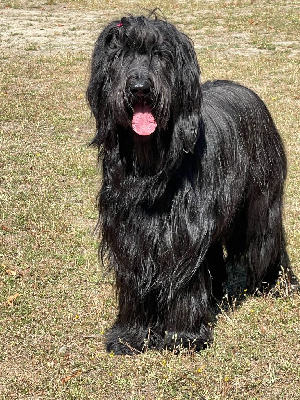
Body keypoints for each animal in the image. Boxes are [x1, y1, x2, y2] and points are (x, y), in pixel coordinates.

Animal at [86, 14, 290, 354]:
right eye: (119, 55)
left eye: (160, 55)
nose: (139, 88)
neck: (151, 165)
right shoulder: (128, 231)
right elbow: (134, 278)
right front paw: (130, 335)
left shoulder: (184, 230)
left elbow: (184, 281)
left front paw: (183, 336)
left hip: (261, 201)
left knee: (267, 239)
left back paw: (280, 285)